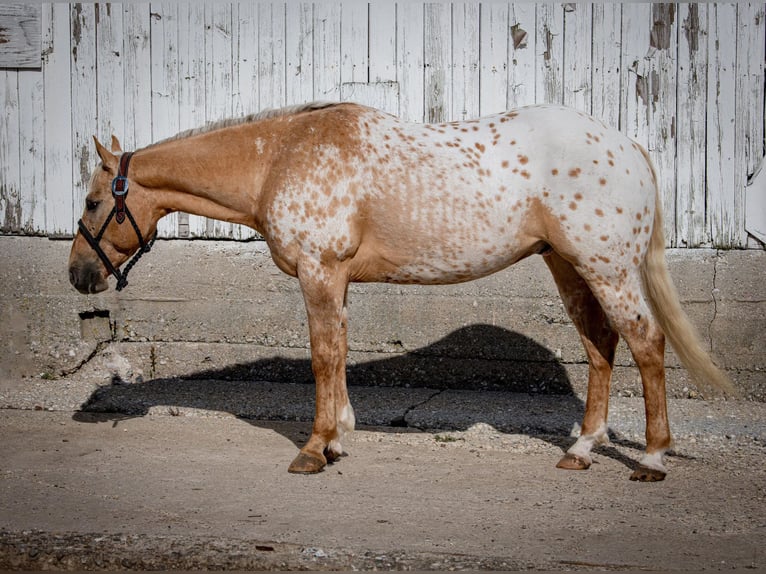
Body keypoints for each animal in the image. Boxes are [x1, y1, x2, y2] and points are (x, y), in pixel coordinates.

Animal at [69, 102, 736, 482]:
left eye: (94, 202)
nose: (79, 274)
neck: (281, 158)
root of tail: (629, 147)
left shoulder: (319, 274)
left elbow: (323, 358)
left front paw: (314, 449)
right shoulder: (335, 280)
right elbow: (337, 357)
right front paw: (339, 438)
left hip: (607, 269)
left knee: (646, 344)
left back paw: (651, 459)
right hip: (570, 268)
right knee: (601, 347)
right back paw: (582, 449)